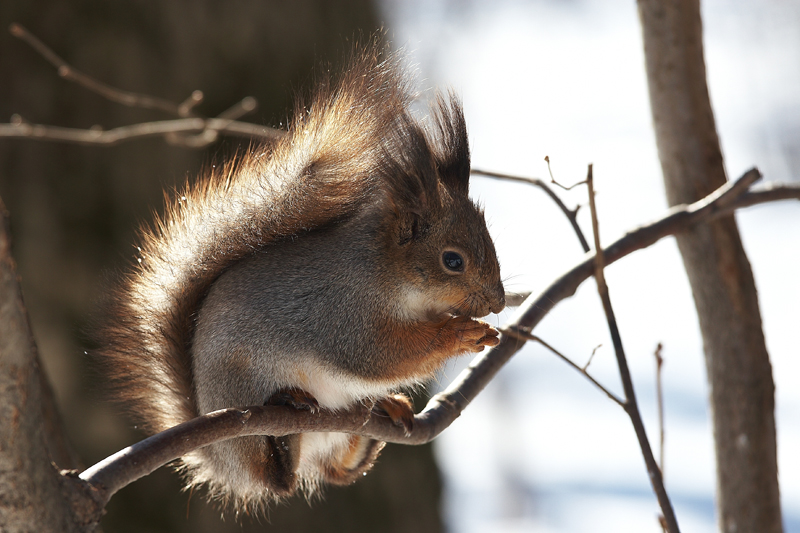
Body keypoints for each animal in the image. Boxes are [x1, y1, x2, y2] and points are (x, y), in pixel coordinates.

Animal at [95, 43, 506, 510]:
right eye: (452, 261)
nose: (498, 301)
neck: (387, 272)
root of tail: (221, 459)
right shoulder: (342, 308)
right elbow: (378, 354)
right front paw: (460, 334)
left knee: (337, 470)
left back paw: (384, 413)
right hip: (243, 393)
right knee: (278, 477)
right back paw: (285, 422)